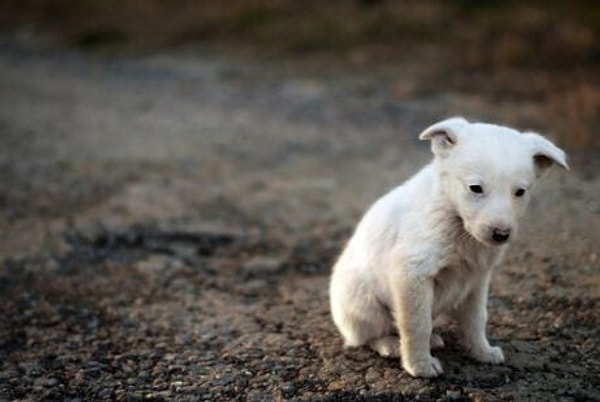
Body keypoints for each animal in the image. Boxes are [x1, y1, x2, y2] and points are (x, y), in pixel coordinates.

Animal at [328, 116, 568, 376]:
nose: (501, 235)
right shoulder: (412, 273)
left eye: (520, 192)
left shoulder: (477, 280)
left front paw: (482, 352)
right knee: (369, 336)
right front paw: (420, 365)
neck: (456, 221)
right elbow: (417, 324)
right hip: (363, 304)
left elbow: (476, 320)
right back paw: (390, 345)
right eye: (475, 188)